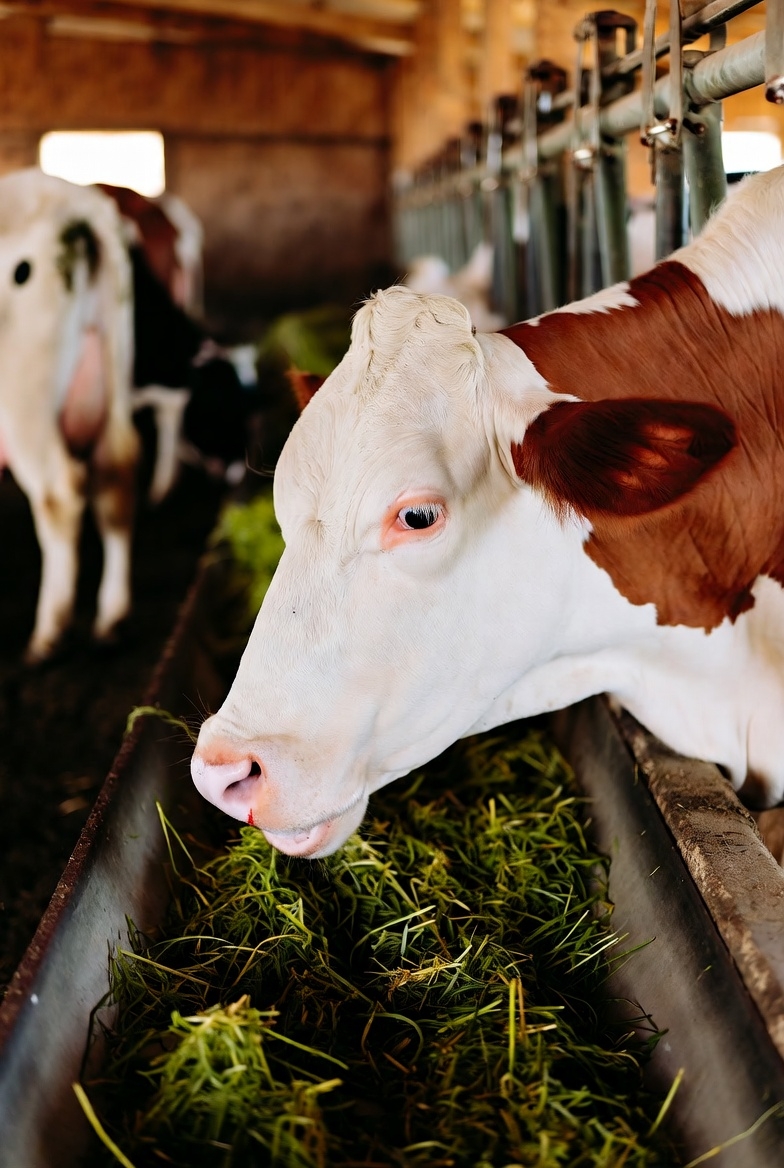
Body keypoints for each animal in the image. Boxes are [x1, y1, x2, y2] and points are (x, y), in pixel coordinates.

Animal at [0, 169, 138, 662]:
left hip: (23, 394)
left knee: (59, 492)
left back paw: (49, 632)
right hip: (114, 373)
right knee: (117, 473)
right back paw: (112, 617)